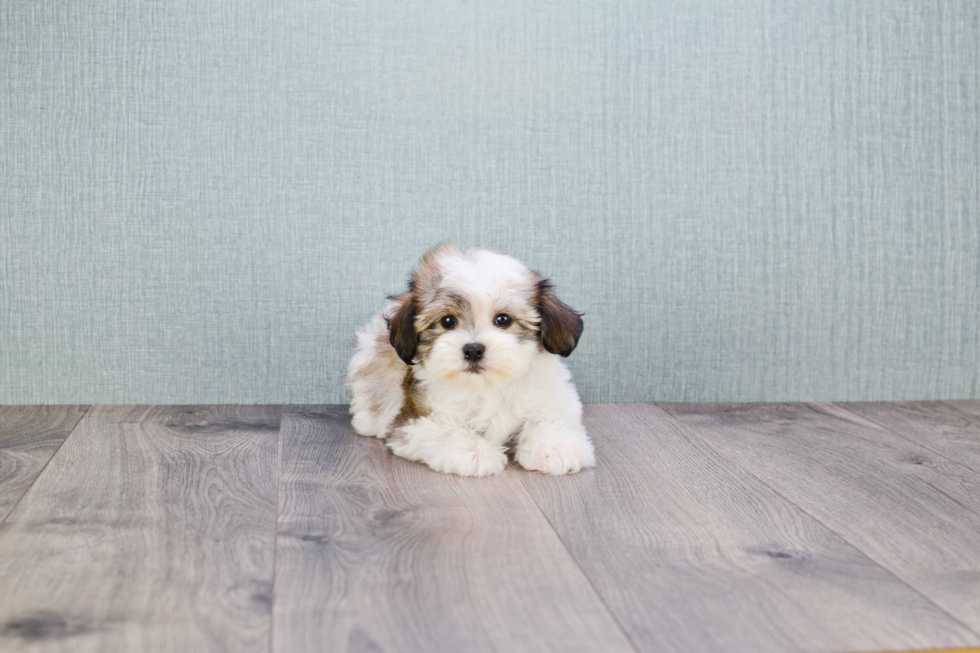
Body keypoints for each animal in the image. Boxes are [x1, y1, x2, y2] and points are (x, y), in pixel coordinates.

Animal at [344, 242, 592, 476]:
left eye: (503, 320)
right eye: (447, 321)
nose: (473, 349)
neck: (488, 386)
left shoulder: (551, 396)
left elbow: (550, 418)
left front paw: (554, 449)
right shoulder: (415, 419)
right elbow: (445, 430)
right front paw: (474, 452)